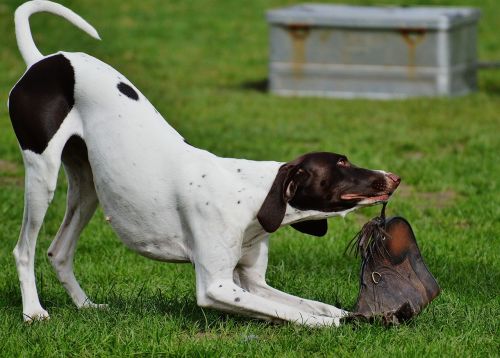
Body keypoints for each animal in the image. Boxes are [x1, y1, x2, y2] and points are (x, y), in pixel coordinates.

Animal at [7, 0, 400, 324]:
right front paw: (343, 324)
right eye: (342, 164)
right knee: (24, 249)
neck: (252, 195)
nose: (394, 177)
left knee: (58, 252)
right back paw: (33, 312)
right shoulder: (218, 287)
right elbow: (304, 316)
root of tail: (43, 60)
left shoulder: (253, 282)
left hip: (87, 188)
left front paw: (356, 313)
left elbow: (317, 306)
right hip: (42, 178)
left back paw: (85, 305)